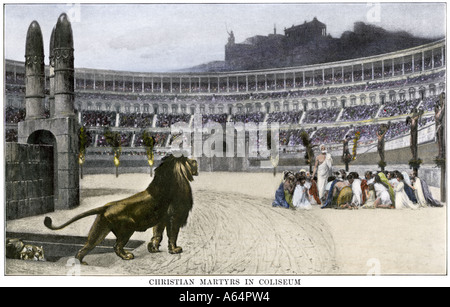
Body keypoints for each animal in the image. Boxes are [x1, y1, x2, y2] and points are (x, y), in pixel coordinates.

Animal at [43, 155, 197, 266]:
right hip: (126, 229)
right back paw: (127, 256)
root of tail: (107, 206)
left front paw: (153, 249)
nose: (195, 160)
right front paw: (175, 250)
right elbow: (172, 235)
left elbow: (157, 235)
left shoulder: (161, 220)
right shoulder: (174, 218)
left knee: (84, 248)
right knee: (117, 246)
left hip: (99, 230)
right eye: (187, 160)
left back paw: (81, 263)